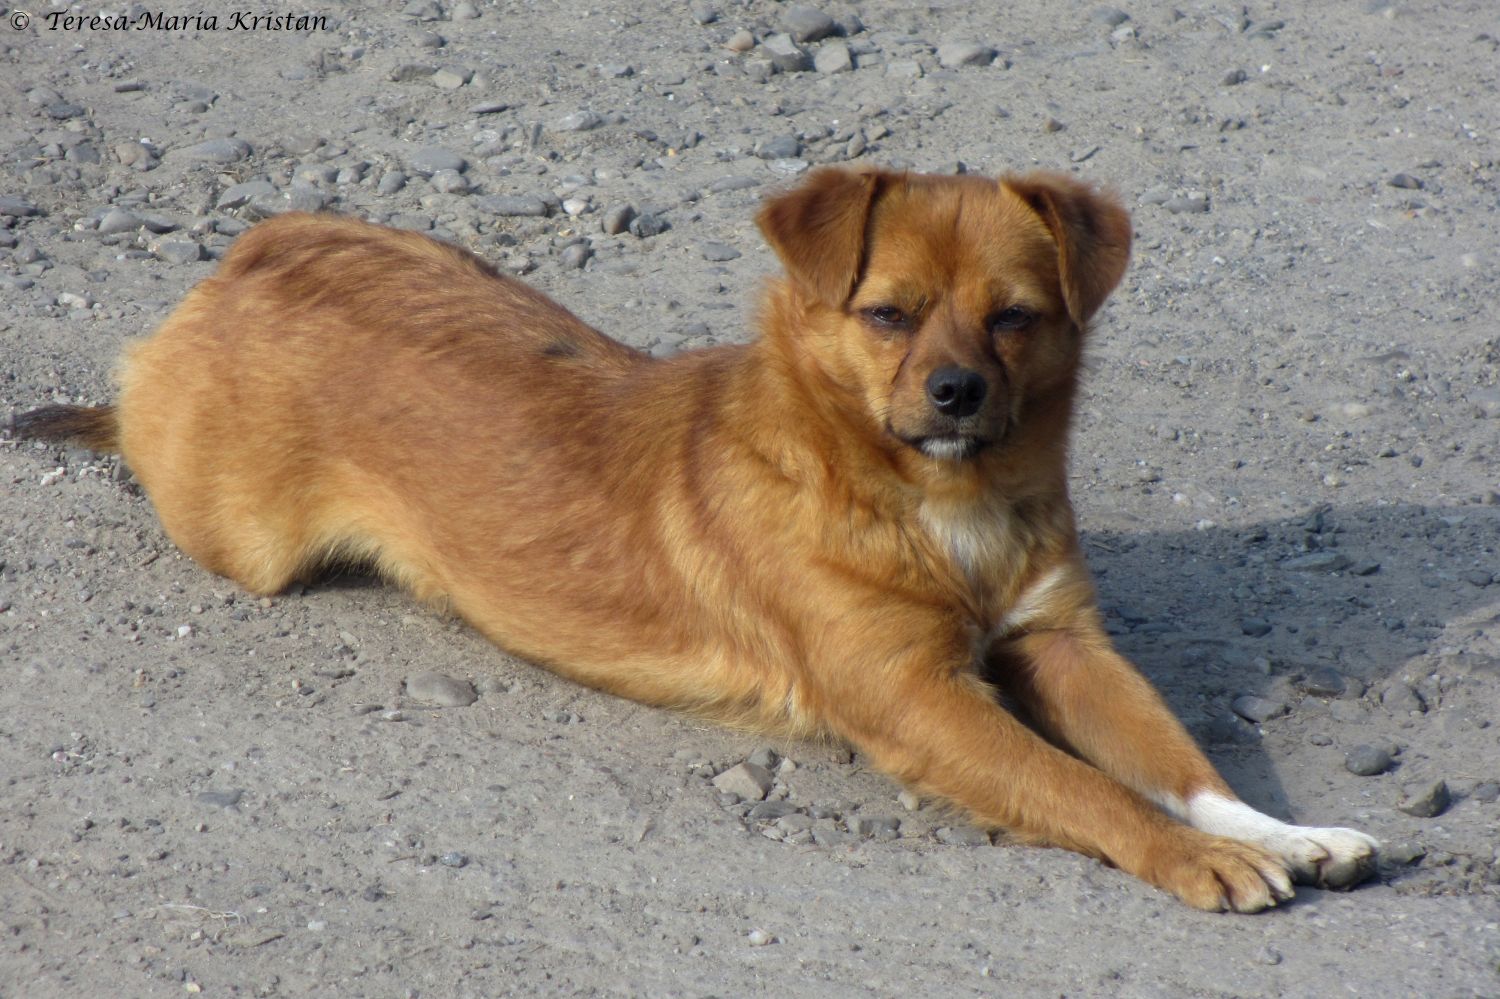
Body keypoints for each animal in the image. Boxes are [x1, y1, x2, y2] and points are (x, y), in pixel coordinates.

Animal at [11, 167, 1374, 906]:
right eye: (887, 316)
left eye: (1016, 318)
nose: (956, 394)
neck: (936, 506)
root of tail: (245, 257)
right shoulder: (916, 698)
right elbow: (1087, 788)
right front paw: (1190, 860)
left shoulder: (1066, 646)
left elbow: (1183, 763)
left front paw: (1284, 834)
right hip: (236, 531)